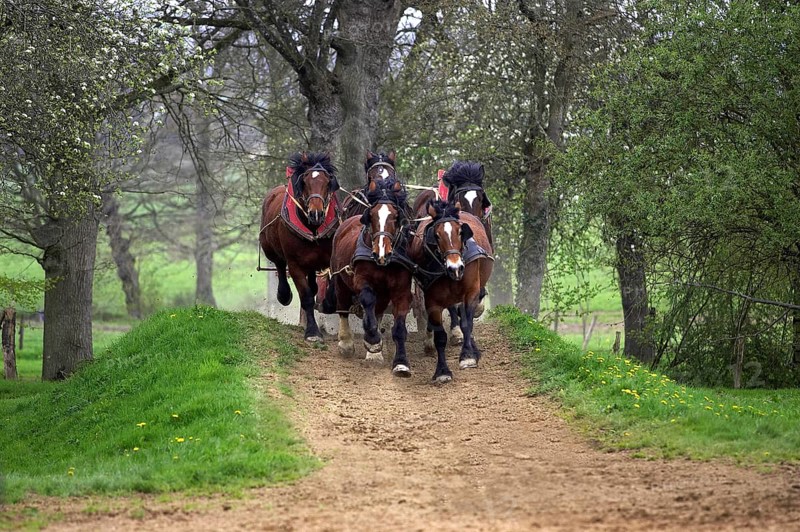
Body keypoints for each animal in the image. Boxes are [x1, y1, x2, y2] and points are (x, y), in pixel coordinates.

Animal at [259, 151, 340, 342]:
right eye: (305, 182)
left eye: (327, 181)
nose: (316, 213)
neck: (313, 228)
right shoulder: (295, 265)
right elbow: (307, 297)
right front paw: (312, 332)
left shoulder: (331, 258)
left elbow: (330, 287)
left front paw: (329, 303)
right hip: (271, 250)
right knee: (280, 267)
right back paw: (283, 294)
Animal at [325, 177, 416, 376]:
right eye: (372, 215)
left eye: (395, 216)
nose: (381, 252)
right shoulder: (361, 281)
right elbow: (367, 301)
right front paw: (373, 340)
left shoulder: (401, 291)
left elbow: (399, 328)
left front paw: (401, 363)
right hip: (340, 281)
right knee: (343, 308)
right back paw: (346, 343)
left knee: (378, 311)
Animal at [407, 200, 493, 383]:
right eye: (437, 235)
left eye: (460, 232)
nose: (455, 268)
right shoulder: (433, 299)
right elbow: (440, 336)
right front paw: (442, 371)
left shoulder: (471, 292)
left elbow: (467, 324)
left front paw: (468, 356)